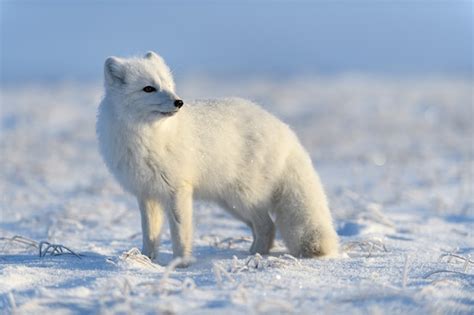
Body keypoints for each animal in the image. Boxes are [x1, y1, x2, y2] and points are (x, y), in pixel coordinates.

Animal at [97, 51, 340, 264]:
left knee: (267, 225)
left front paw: (181, 263)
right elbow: (149, 235)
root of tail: (285, 131)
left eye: (168, 85)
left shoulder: (178, 189)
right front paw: (147, 260)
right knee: (264, 226)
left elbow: (180, 233)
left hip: (243, 198)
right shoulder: (146, 193)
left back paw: (253, 256)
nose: (179, 102)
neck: (148, 136)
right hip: (230, 203)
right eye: (148, 89)